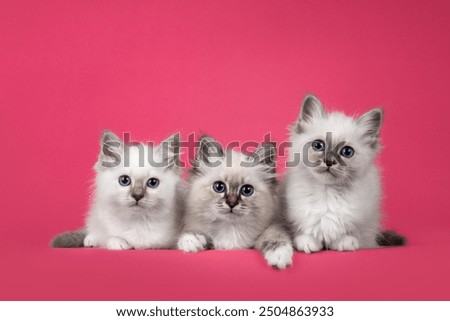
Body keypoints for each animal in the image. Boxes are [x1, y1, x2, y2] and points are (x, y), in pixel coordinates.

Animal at [52, 129, 185, 249]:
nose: (137, 196)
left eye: (153, 183)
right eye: (124, 180)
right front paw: (119, 243)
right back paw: (90, 239)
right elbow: (109, 237)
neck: (138, 221)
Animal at [178, 135, 294, 268]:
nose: (231, 203)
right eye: (219, 187)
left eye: (247, 190)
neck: (230, 228)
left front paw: (280, 255)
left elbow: (273, 235)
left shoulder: (272, 226)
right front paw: (191, 240)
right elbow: (194, 232)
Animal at [286, 95, 406, 252]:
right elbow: (303, 232)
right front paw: (307, 243)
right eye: (318, 145)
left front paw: (346, 242)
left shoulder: (364, 222)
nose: (329, 161)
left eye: (347, 152)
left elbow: (352, 235)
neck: (327, 193)